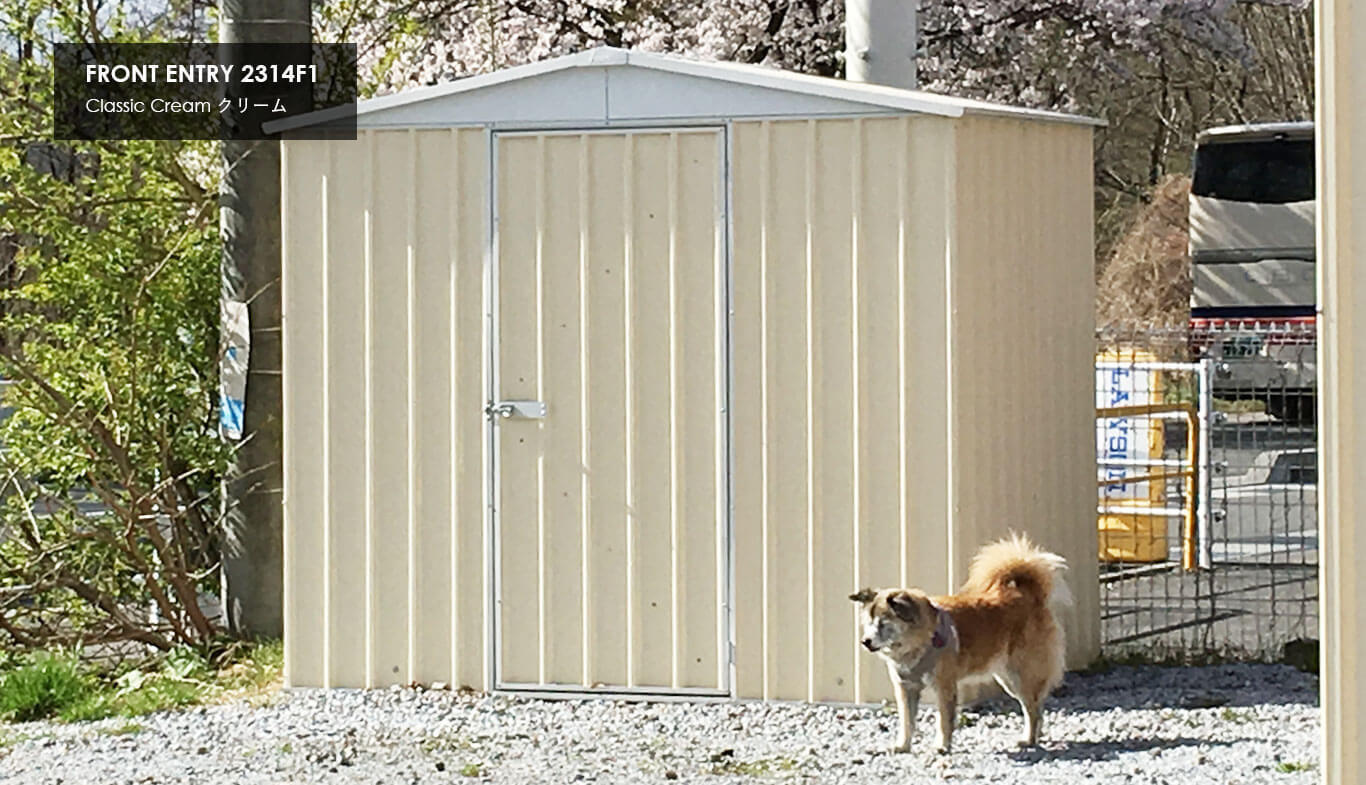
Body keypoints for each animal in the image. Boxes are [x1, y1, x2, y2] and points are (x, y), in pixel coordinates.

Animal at [846, 535, 1070, 753]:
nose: (865, 642)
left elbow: (944, 721)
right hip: (1007, 677)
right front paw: (903, 746)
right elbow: (907, 722)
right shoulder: (906, 688)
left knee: (1032, 708)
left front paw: (942, 746)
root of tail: (1027, 594)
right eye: (868, 623)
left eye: (883, 623)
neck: (919, 641)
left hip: (1020, 676)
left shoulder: (944, 686)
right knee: (1036, 708)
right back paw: (1034, 737)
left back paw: (1029, 740)